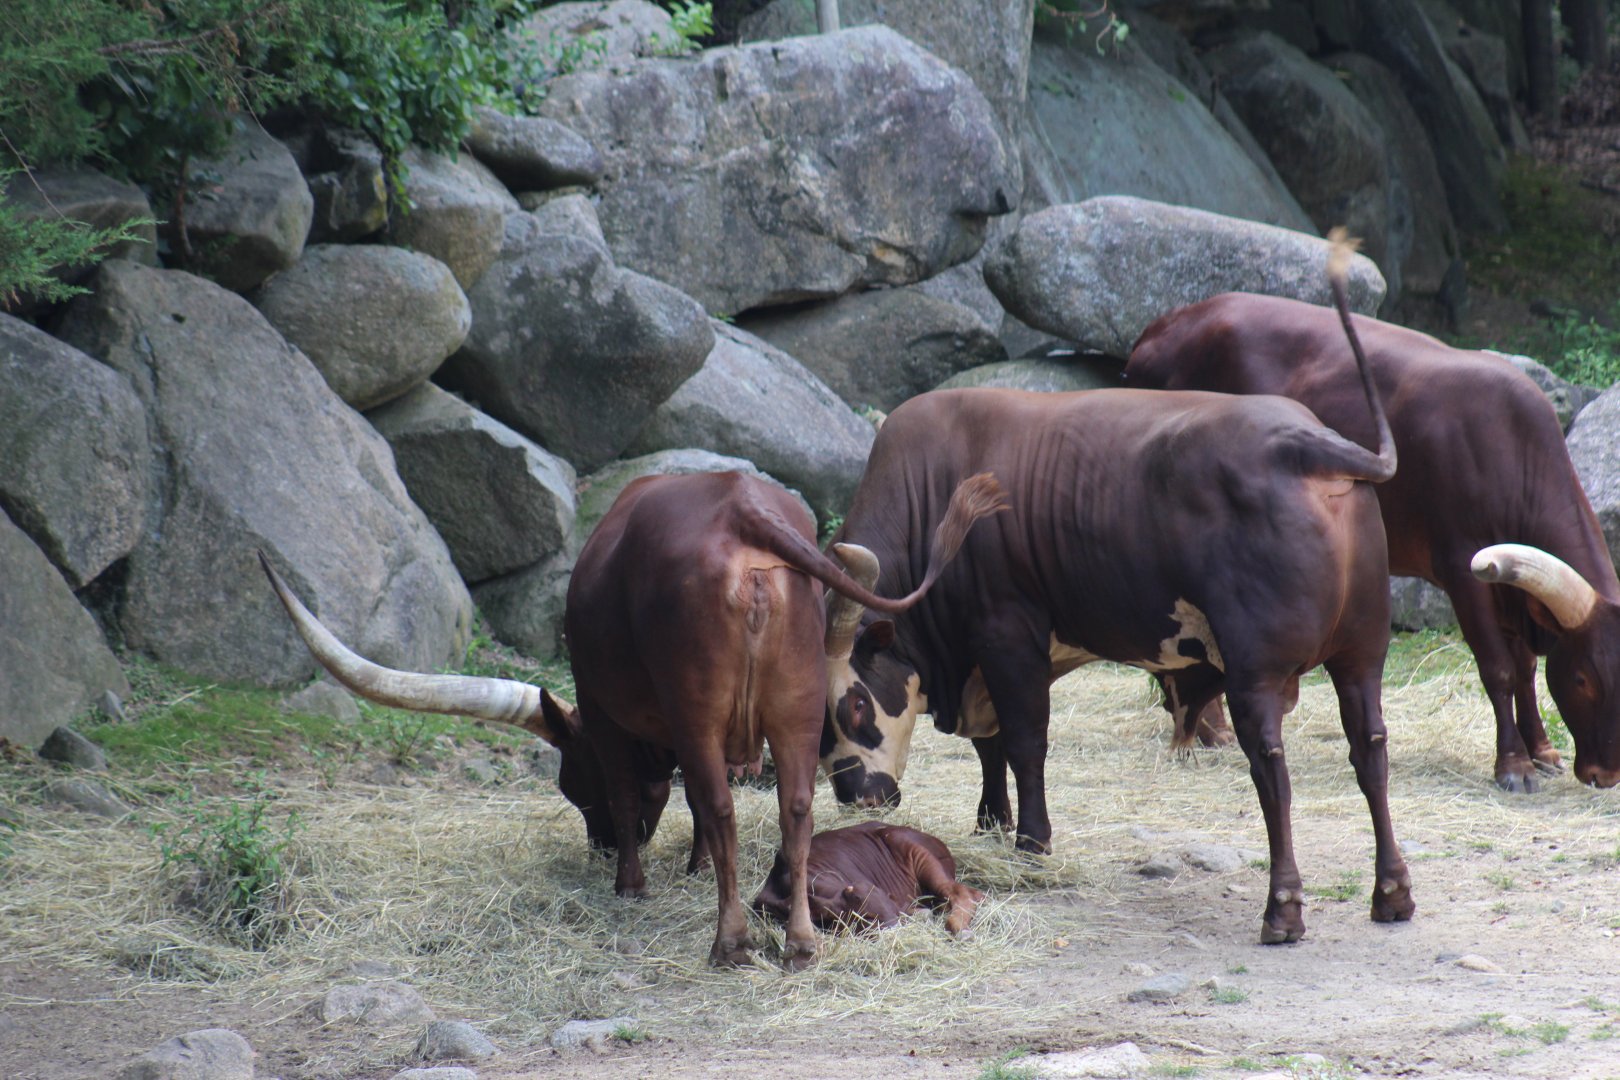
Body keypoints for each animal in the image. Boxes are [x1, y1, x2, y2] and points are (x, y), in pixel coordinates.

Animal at [819, 236, 1414, 943]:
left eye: (854, 704)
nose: (854, 795)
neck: (932, 497)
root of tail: (1307, 442)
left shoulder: (1006, 635)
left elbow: (1023, 741)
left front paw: (1031, 841)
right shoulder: (982, 660)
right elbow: (991, 747)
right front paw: (990, 822)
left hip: (1257, 674)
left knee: (1272, 770)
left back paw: (1283, 907)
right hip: (1362, 657)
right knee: (1370, 751)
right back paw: (1392, 892)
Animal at [1125, 294, 1620, 792]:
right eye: (1583, 679)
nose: (1606, 773)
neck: (1511, 449)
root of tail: (1160, 329)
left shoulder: (1511, 589)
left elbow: (1525, 669)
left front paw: (1542, 750)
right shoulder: (1463, 569)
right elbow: (1498, 668)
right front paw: (1514, 765)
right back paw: (1211, 730)